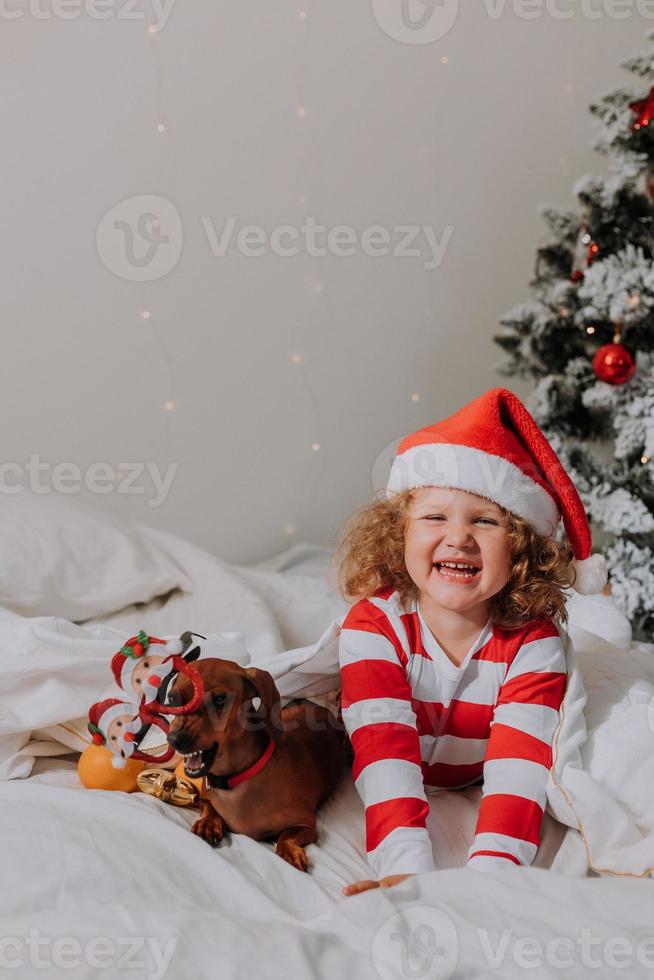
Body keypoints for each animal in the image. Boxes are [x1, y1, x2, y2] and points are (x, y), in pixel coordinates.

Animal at [167, 660, 346, 872]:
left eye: (219, 699)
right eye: (172, 698)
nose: (174, 739)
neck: (235, 781)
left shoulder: (307, 823)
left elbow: (286, 836)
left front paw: (288, 851)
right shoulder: (201, 796)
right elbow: (208, 805)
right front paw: (208, 823)